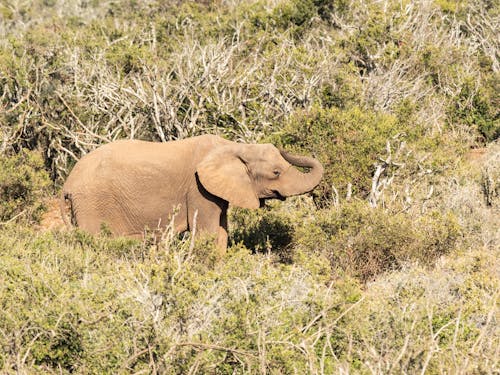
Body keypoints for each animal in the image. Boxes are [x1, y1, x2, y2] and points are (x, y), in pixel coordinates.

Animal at [60, 134, 324, 251]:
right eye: (276, 172)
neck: (232, 146)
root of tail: (68, 183)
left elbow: (221, 233)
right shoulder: (198, 190)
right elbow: (208, 233)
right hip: (92, 203)